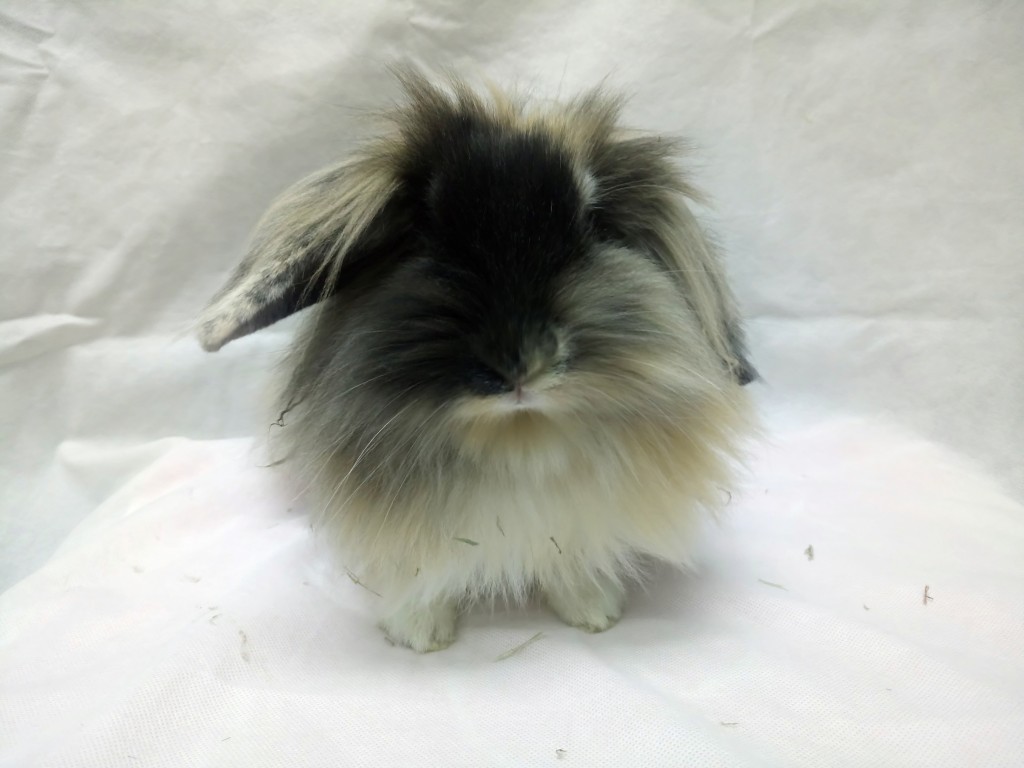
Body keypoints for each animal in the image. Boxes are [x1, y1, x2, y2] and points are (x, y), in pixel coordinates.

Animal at [197, 68, 757, 652]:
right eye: (421, 232)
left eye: (595, 223)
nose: (520, 366)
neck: (519, 436)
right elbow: (421, 580)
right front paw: (421, 637)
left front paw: (595, 613)